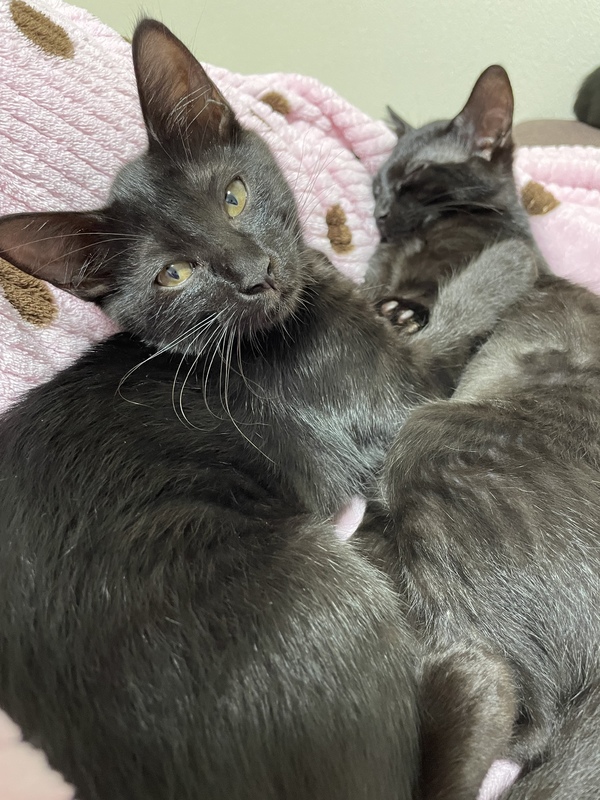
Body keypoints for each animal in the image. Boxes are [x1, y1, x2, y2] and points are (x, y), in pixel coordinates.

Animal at [0, 21, 537, 800]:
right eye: (174, 274)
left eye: (233, 195)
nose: (257, 274)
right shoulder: (409, 386)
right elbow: (467, 307)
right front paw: (512, 256)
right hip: (317, 576)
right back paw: (474, 687)